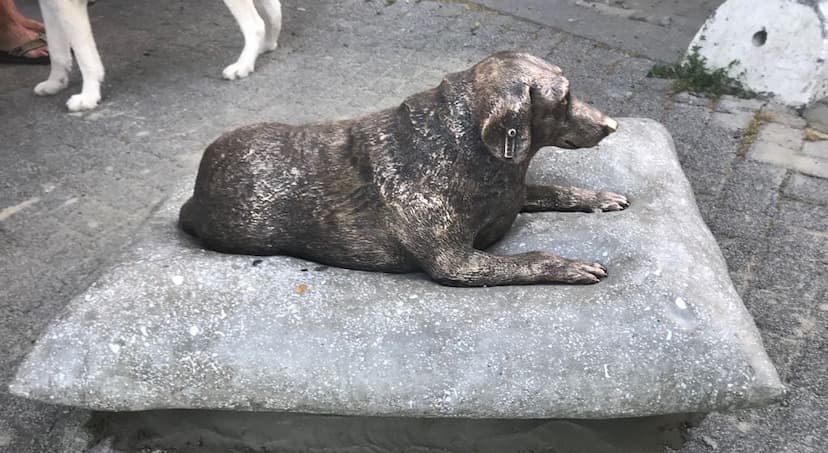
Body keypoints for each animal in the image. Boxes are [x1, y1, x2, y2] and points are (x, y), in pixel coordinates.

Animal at [36, 1, 282, 111]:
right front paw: (55, 82)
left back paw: (244, 65)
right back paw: (266, 45)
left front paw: (88, 96)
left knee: (255, 24)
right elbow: (57, 51)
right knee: (274, 10)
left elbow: (86, 59)